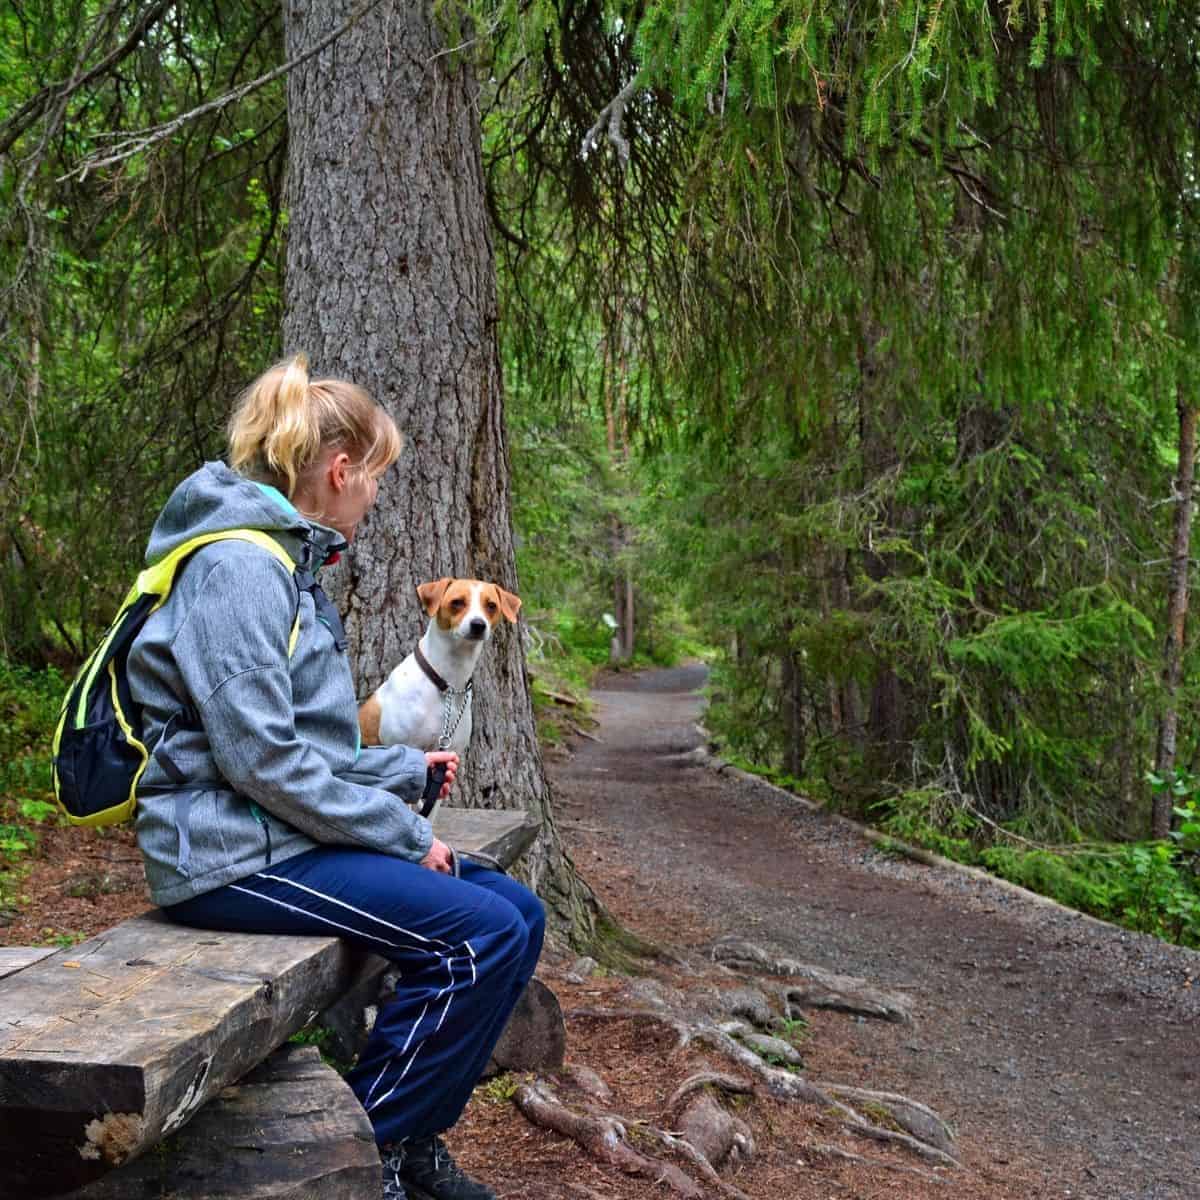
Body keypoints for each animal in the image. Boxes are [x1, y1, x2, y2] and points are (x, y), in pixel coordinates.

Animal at [357, 573, 523, 758]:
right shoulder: (403, 745)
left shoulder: (451, 751)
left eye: (491, 605)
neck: (447, 683)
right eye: (457, 602)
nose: (478, 625)